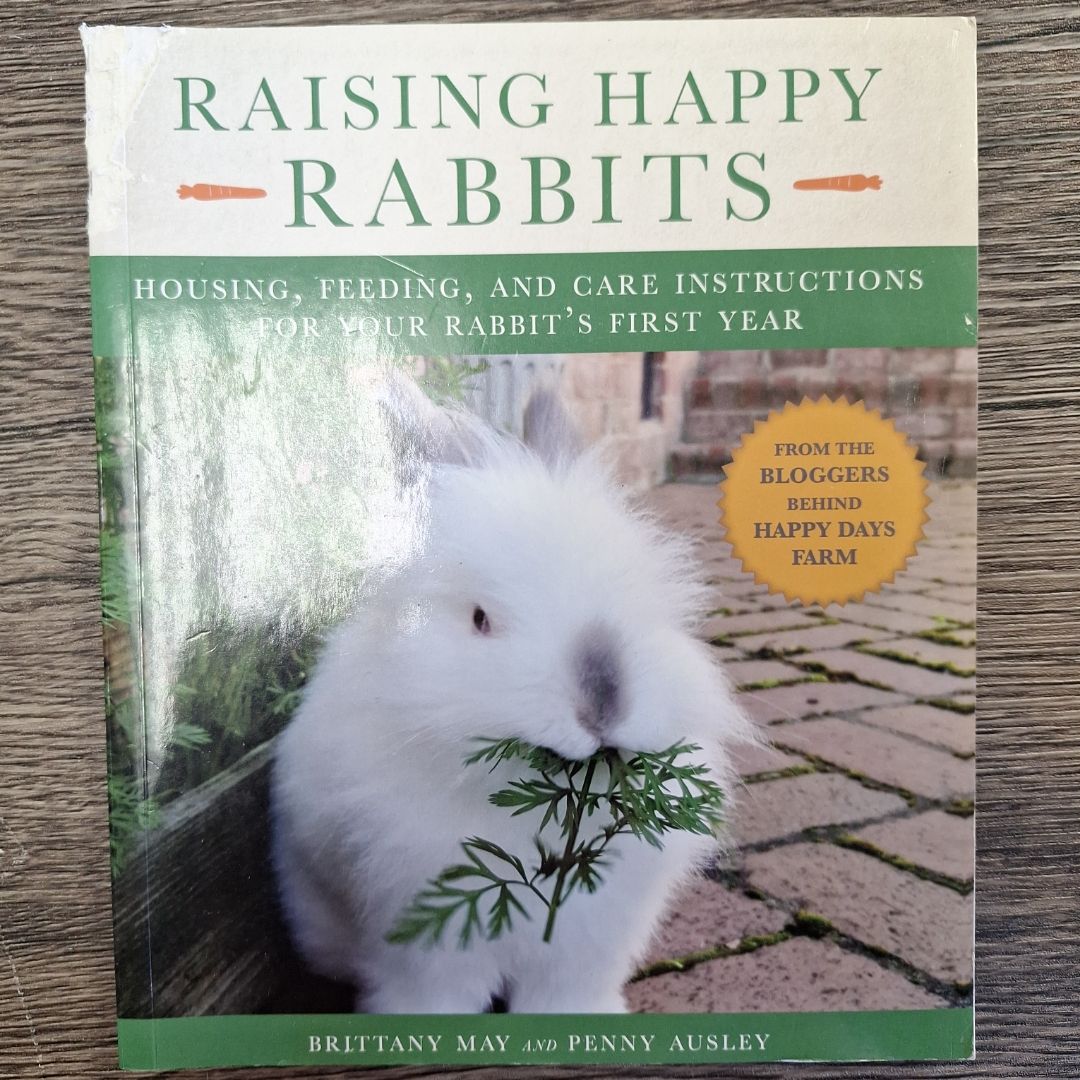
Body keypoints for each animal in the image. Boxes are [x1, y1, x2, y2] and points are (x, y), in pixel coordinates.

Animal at [270, 374, 755, 1014]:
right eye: (480, 619)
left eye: (642, 591)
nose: (603, 701)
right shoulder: (424, 930)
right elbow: (434, 990)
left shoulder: (591, 934)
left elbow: (566, 988)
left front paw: (581, 1017)